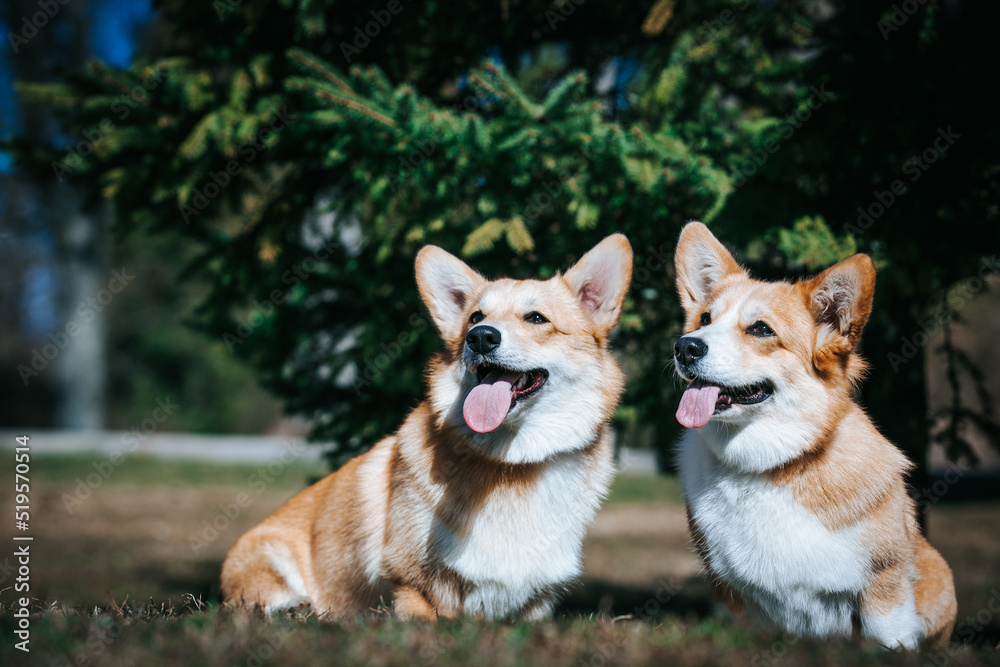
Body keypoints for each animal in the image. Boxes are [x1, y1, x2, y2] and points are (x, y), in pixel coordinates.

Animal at [225, 235, 632, 620]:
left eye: (536, 318)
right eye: (475, 317)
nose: (480, 337)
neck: (511, 463)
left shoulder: (537, 602)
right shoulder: (407, 584)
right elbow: (425, 614)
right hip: (265, 553)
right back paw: (293, 606)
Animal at [668, 222, 956, 648]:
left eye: (761, 329)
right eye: (704, 319)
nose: (685, 347)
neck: (770, 465)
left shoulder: (884, 586)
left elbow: (886, 634)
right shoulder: (729, 593)